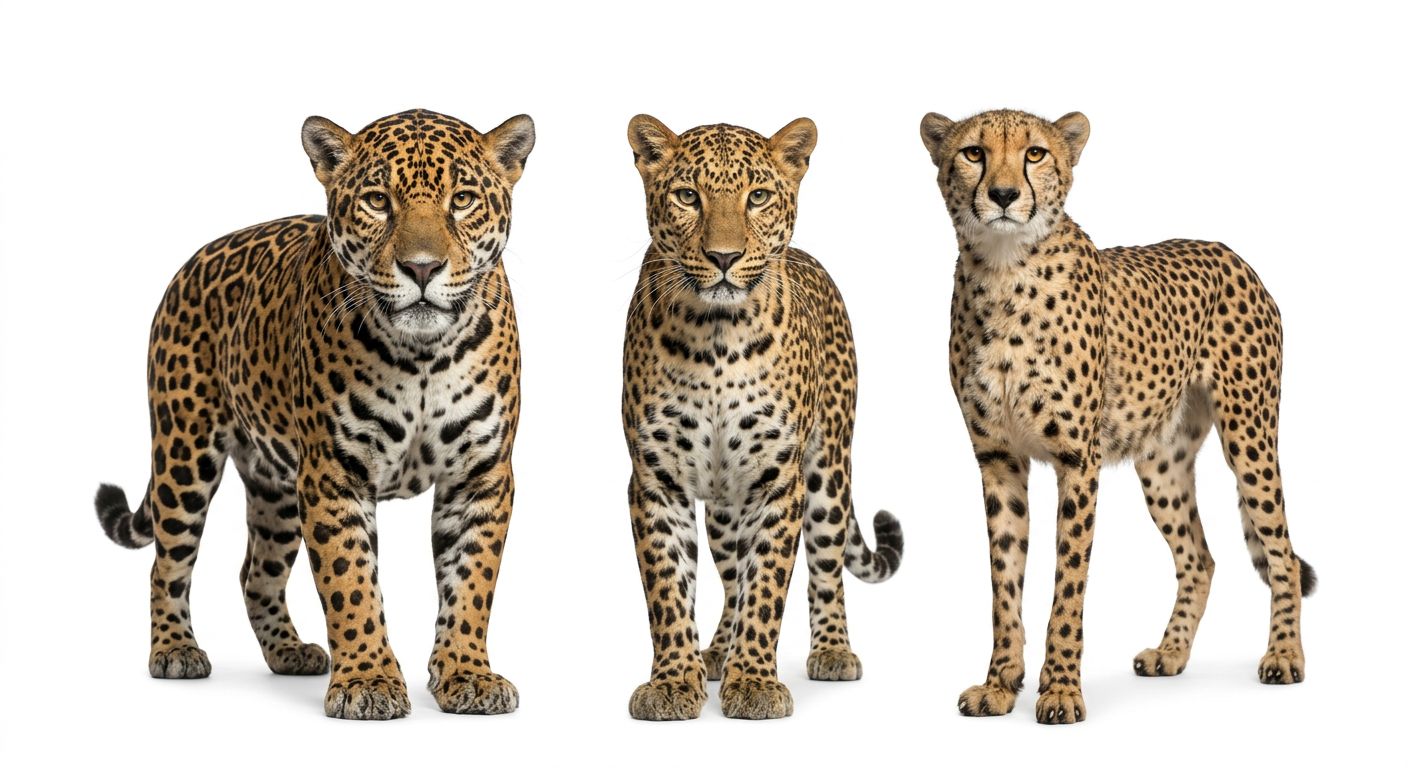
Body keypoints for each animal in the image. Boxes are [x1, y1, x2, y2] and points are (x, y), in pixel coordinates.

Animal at [95, 108, 535, 720]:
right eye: (377, 201)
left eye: (463, 199)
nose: (422, 268)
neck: (424, 355)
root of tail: (192, 261)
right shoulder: (333, 474)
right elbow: (351, 583)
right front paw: (369, 681)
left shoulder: (481, 475)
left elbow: (471, 583)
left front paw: (466, 674)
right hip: (184, 454)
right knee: (168, 562)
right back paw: (176, 650)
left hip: (276, 485)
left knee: (255, 573)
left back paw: (289, 652)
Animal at [620, 115, 905, 721]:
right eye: (687, 196)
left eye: (758, 197)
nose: (724, 257)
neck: (716, 337)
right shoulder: (657, 478)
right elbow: (669, 589)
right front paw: (672, 682)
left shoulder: (779, 481)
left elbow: (768, 586)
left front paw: (753, 682)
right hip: (727, 505)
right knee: (731, 578)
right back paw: (715, 654)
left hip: (828, 472)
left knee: (824, 566)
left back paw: (832, 652)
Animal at [919, 108, 1316, 724]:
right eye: (973, 153)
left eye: (1035, 153)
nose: (1004, 195)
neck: (1005, 270)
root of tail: (1228, 250)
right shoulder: (998, 460)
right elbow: (1004, 583)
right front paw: (1000, 684)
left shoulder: (1076, 461)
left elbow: (1068, 584)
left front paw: (1060, 689)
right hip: (1162, 462)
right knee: (1199, 558)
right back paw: (1171, 653)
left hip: (1250, 438)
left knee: (1281, 554)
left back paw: (1284, 656)